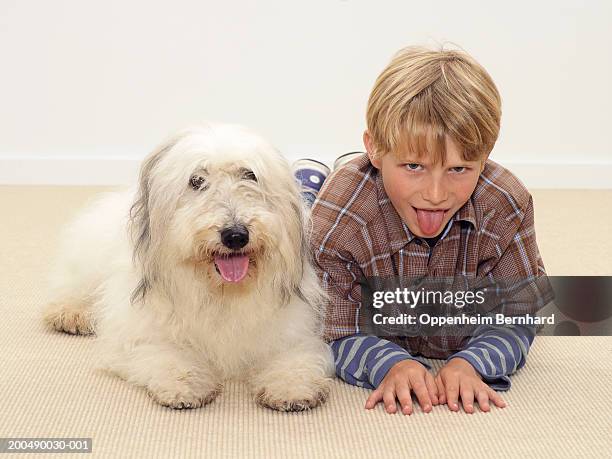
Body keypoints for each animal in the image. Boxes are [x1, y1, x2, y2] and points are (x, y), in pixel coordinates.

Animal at [43, 123, 334, 414]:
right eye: (196, 181)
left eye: (250, 175)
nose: (235, 235)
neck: (223, 293)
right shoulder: (139, 335)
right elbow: (165, 354)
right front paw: (184, 384)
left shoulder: (292, 333)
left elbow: (293, 357)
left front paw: (291, 387)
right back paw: (71, 313)